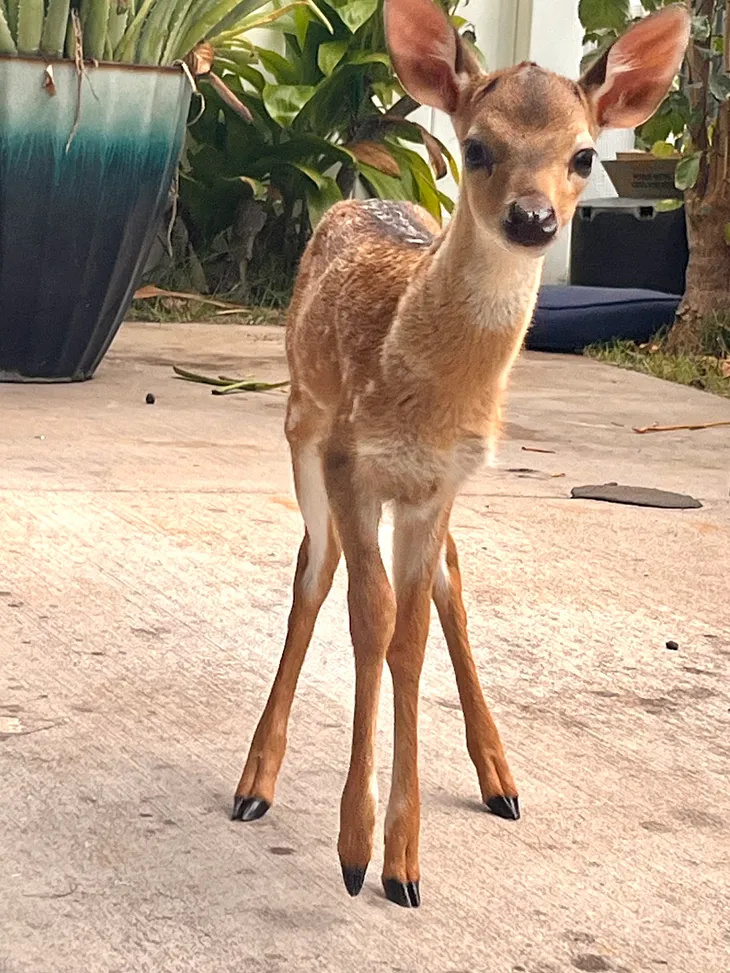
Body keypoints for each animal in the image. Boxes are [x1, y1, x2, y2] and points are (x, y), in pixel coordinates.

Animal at [233, 0, 688, 908]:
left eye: (584, 155)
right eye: (476, 147)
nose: (534, 218)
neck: (426, 395)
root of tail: (353, 199)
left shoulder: (438, 482)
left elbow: (408, 632)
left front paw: (401, 861)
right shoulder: (350, 460)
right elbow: (367, 618)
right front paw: (355, 849)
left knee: (448, 579)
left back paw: (500, 778)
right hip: (302, 424)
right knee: (312, 569)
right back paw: (254, 783)